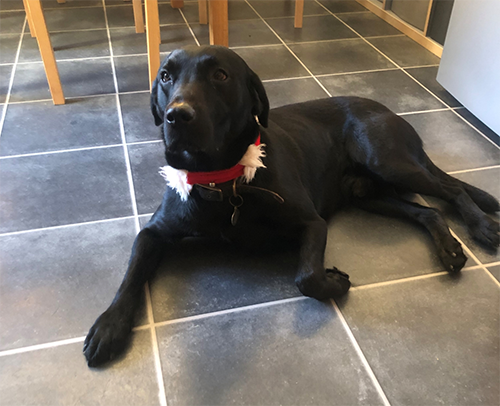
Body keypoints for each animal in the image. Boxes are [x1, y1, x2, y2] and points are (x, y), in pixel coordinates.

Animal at [83, 46, 500, 366]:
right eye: (166, 76)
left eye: (220, 75)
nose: (177, 115)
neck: (223, 182)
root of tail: (386, 108)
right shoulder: (153, 232)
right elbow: (130, 276)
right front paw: (109, 325)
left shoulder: (312, 223)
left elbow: (307, 277)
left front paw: (334, 280)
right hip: (369, 195)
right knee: (427, 210)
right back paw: (449, 249)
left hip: (389, 160)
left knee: (450, 190)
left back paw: (482, 226)